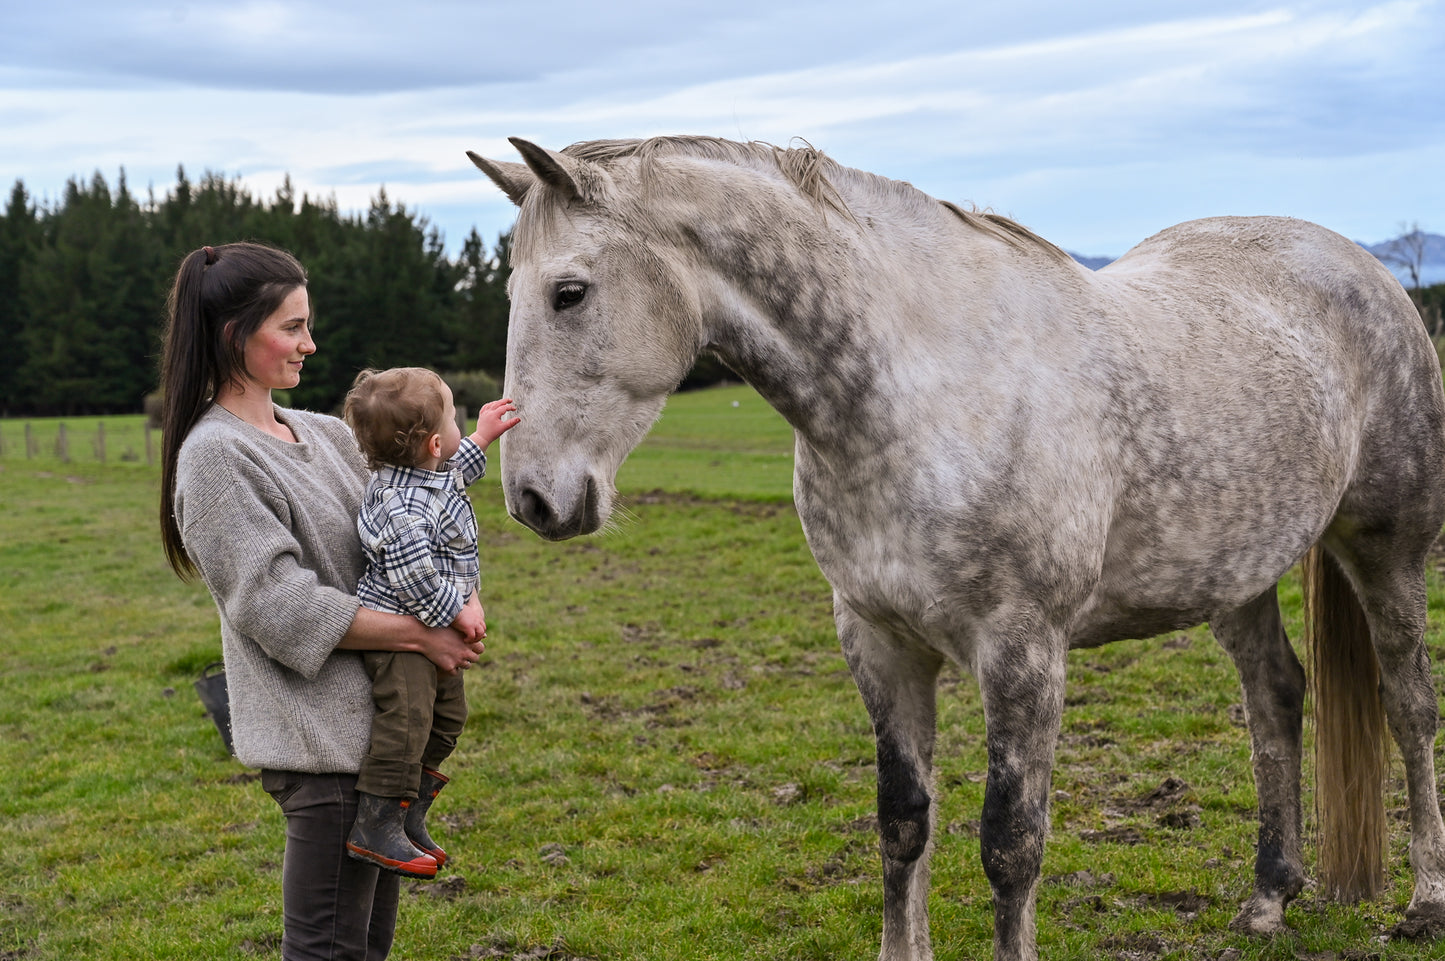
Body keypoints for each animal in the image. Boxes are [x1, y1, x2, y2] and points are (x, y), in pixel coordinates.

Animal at [471, 136, 1445, 959]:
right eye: (513, 295)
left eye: (569, 292)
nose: (532, 498)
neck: (921, 391)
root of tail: (1364, 268)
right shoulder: (878, 640)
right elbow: (903, 820)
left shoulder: (1022, 652)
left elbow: (1010, 843)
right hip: (1233, 573)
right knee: (1274, 698)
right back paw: (1267, 898)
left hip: (1384, 546)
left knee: (1407, 704)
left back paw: (1422, 898)